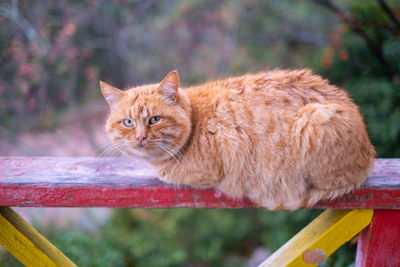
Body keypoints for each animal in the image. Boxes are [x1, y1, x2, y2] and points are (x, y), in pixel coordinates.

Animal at [99, 69, 376, 211]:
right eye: (128, 122)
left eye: (155, 119)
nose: (140, 137)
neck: (195, 119)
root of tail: (369, 153)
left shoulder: (209, 171)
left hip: (313, 122)